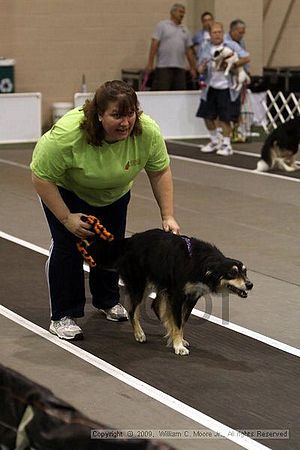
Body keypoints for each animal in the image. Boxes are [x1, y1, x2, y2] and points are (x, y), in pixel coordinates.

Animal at [89, 230, 253, 356]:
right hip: (140, 285)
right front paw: (178, 345)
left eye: (245, 272)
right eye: (233, 273)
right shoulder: (177, 295)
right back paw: (139, 334)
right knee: (132, 310)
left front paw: (177, 339)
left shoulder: (192, 296)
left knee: (156, 306)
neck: (199, 263)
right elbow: (178, 321)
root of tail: (130, 240)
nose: (250, 285)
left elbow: (182, 321)